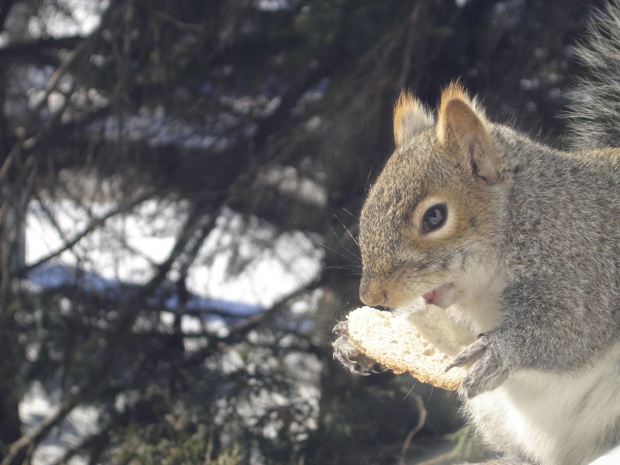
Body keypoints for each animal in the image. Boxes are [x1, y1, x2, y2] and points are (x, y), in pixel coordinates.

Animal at [332, 0, 620, 464]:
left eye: (434, 218)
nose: (372, 297)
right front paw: (350, 339)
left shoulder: (589, 267)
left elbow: (571, 327)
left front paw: (500, 350)